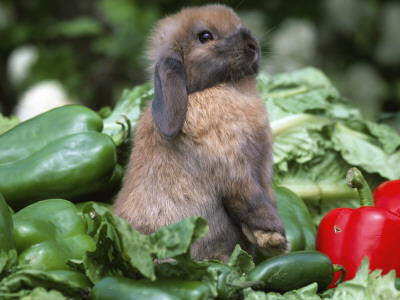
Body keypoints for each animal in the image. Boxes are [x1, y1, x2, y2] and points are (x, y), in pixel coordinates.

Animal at [111, 4, 288, 262]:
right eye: (205, 37)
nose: (252, 44)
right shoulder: (235, 171)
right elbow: (251, 202)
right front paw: (274, 238)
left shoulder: (263, 170)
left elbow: (268, 198)